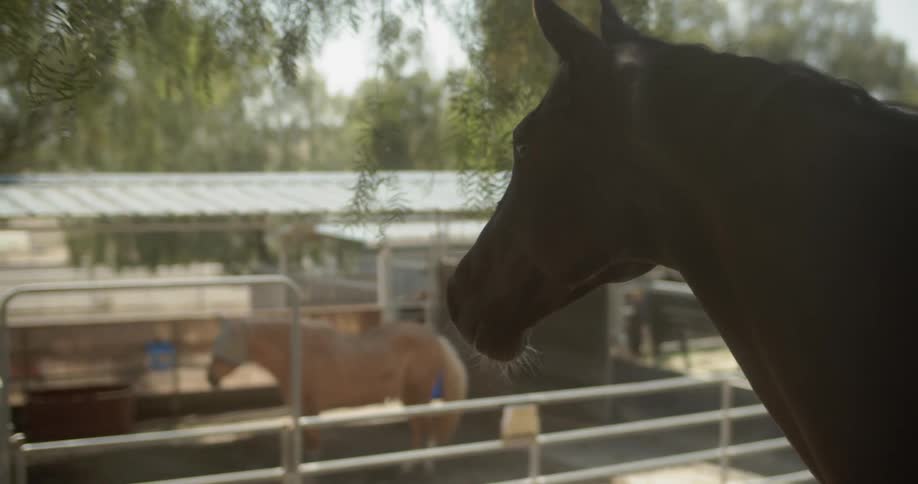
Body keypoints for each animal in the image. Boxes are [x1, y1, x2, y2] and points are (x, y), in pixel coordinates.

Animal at [206, 317, 468, 471]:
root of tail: (436, 339)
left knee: (426, 427)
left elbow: (314, 439)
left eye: (226, 343)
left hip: (418, 394)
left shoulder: (310, 407)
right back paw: (409, 464)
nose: (210, 379)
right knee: (417, 428)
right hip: (409, 397)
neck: (296, 353)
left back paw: (424, 464)